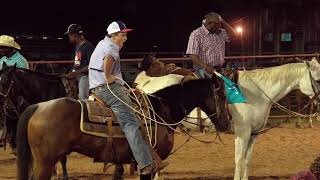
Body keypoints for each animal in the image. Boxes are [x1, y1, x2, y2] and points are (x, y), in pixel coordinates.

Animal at [15, 78, 230, 180]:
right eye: (223, 96)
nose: (227, 124)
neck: (160, 111)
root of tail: (38, 106)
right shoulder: (149, 165)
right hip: (45, 162)